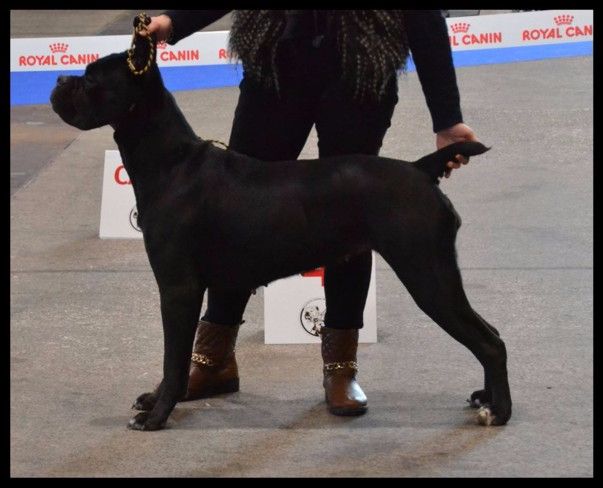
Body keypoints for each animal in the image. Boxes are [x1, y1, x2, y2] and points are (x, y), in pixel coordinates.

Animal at [52, 29, 512, 430]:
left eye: (90, 78)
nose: (58, 79)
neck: (170, 161)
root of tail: (420, 170)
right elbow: (177, 357)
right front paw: (155, 399)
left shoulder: (178, 287)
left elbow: (174, 357)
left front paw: (157, 416)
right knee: (490, 333)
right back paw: (486, 399)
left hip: (428, 274)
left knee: (490, 342)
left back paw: (499, 411)